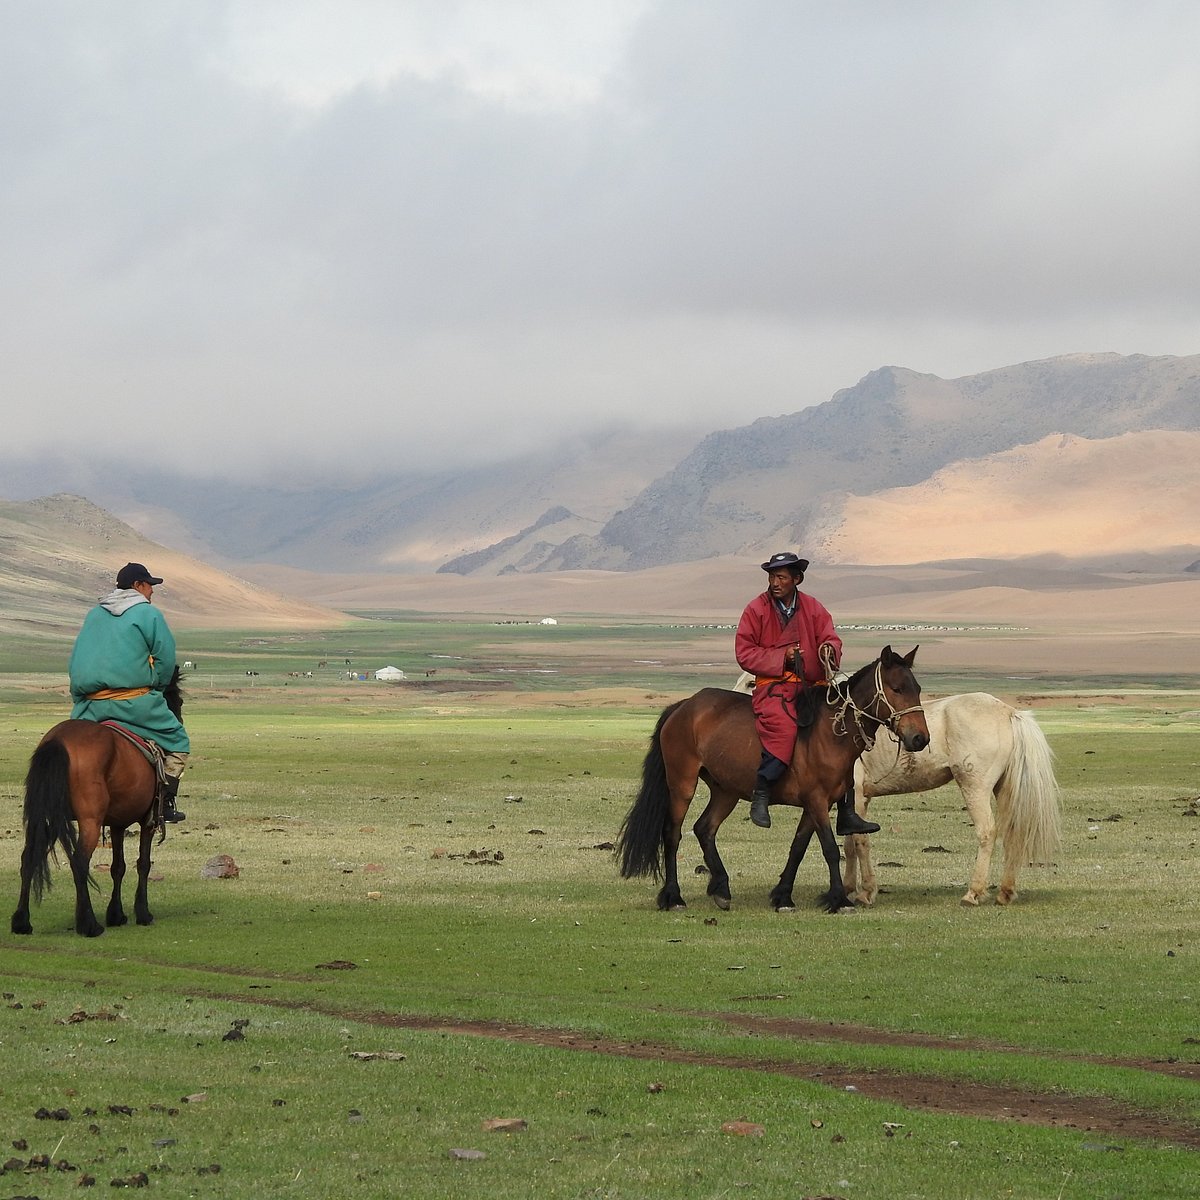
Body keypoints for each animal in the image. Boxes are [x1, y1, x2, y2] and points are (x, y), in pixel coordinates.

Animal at [11, 667, 184, 936]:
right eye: (178, 700)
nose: (179, 720)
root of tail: (58, 740)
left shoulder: (117, 823)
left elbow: (118, 866)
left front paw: (116, 914)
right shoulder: (148, 821)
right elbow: (143, 863)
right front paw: (142, 913)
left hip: (50, 815)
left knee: (29, 857)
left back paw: (22, 921)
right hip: (89, 821)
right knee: (80, 862)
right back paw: (88, 924)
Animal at [619, 652, 926, 912]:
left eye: (918, 689)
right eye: (897, 688)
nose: (920, 738)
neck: (828, 734)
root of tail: (683, 706)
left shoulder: (818, 804)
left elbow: (798, 848)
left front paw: (783, 896)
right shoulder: (816, 800)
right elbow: (829, 848)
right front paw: (838, 899)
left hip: (725, 790)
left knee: (705, 829)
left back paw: (721, 889)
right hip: (682, 783)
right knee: (672, 834)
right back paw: (674, 897)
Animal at [729, 681, 1060, 902]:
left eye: (750, 683)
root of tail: (1009, 712)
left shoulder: (856, 797)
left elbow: (858, 841)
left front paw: (866, 892)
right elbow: (849, 842)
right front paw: (849, 888)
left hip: (974, 785)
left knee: (987, 832)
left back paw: (973, 892)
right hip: (1003, 788)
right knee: (1014, 832)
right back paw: (1005, 891)